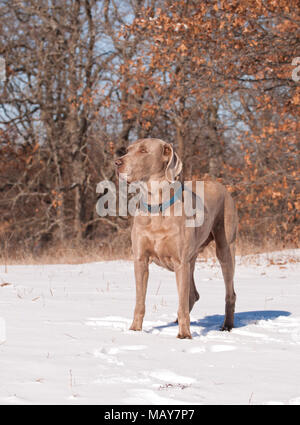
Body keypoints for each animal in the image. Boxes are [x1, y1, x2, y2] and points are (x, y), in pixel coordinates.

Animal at [113, 138, 238, 338]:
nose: (117, 163)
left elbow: (182, 303)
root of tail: (221, 186)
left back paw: (227, 325)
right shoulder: (140, 260)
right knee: (192, 295)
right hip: (192, 259)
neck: (156, 207)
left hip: (224, 248)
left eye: (143, 150)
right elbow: (140, 301)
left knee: (229, 292)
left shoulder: (180, 261)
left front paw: (184, 335)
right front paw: (135, 330)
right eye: (128, 150)